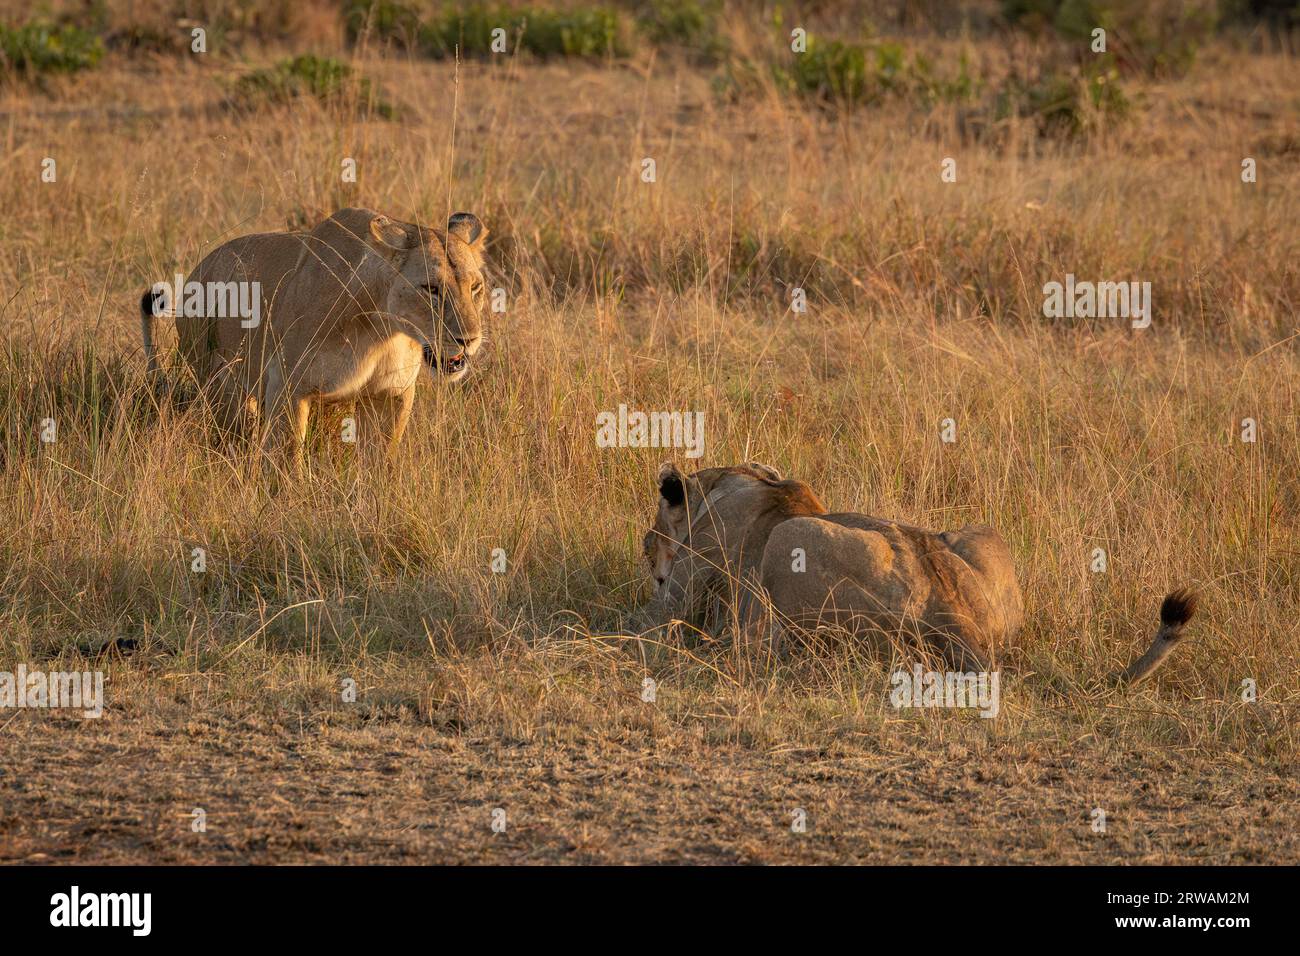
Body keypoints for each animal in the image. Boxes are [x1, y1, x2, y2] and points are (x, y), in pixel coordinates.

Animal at [139, 206, 489, 462]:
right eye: (431, 289)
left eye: (476, 288)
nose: (469, 340)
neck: (380, 331)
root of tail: (197, 270)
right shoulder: (288, 387)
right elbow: (288, 461)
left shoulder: (391, 395)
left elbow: (380, 462)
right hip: (219, 383)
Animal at [639, 462, 1198, 684]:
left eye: (654, 531)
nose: (646, 547)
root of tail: (953, 609)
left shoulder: (687, 586)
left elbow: (648, 621)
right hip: (976, 534)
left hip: (791, 543)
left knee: (760, 646)